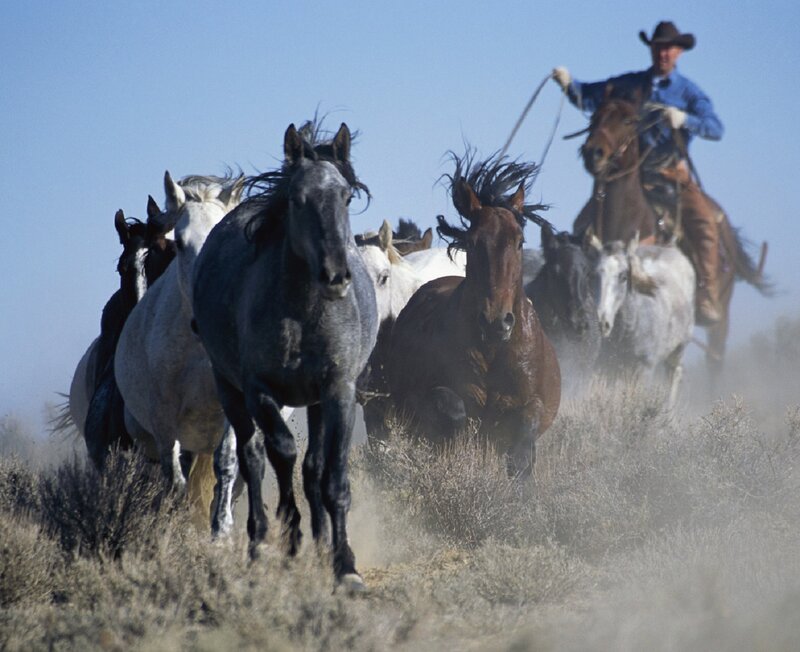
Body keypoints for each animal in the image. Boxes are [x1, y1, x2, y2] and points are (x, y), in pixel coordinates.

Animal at [190, 122, 378, 589]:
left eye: (346, 196)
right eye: (297, 199)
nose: (336, 277)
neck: (302, 313)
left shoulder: (338, 391)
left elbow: (331, 477)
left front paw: (343, 564)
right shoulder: (259, 391)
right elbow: (281, 453)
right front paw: (290, 537)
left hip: (314, 401)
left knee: (312, 469)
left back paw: (321, 543)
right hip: (230, 392)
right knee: (253, 459)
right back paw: (259, 544)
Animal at [384, 152, 561, 478]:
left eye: (519, 241)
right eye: (473, 241)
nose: (496, 322)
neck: (493, 350)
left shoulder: (532, 402)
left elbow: (525, 430)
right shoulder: (431, 394)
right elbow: (453, 408)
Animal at [587, 235, 695, 406]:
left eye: (623, 276)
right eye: (594, 274)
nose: (602, 323)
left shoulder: (644, 367)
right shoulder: (604, 367)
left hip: (678, 350)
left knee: (674, 375)